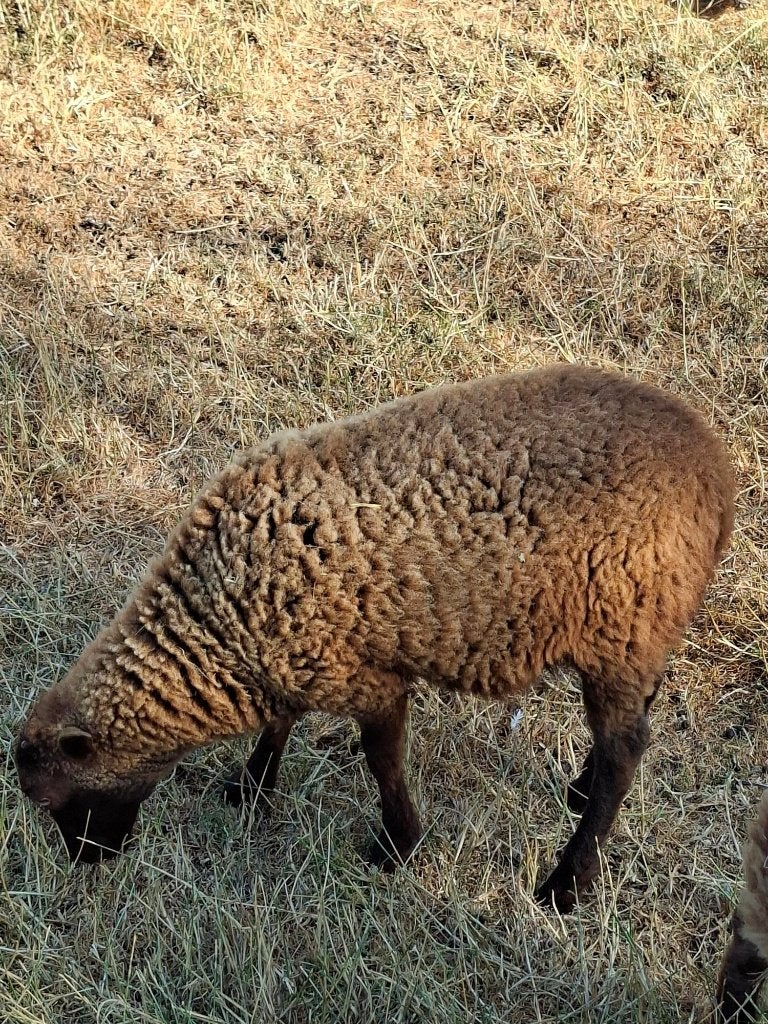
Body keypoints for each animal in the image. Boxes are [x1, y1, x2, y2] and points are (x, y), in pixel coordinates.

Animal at [15, 363, 734, 912]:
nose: (90, 861)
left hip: (622, 626)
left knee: (625, 753)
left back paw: (567, 882)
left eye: (58, 800)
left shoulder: (368, 676)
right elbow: (282, 719)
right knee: (637, 715)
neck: (219, 617)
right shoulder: (294, 652)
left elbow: (380, 759)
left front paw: (398, 845)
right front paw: (251, 789)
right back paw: (579, 794)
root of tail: (713, 470)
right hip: (640, 633)